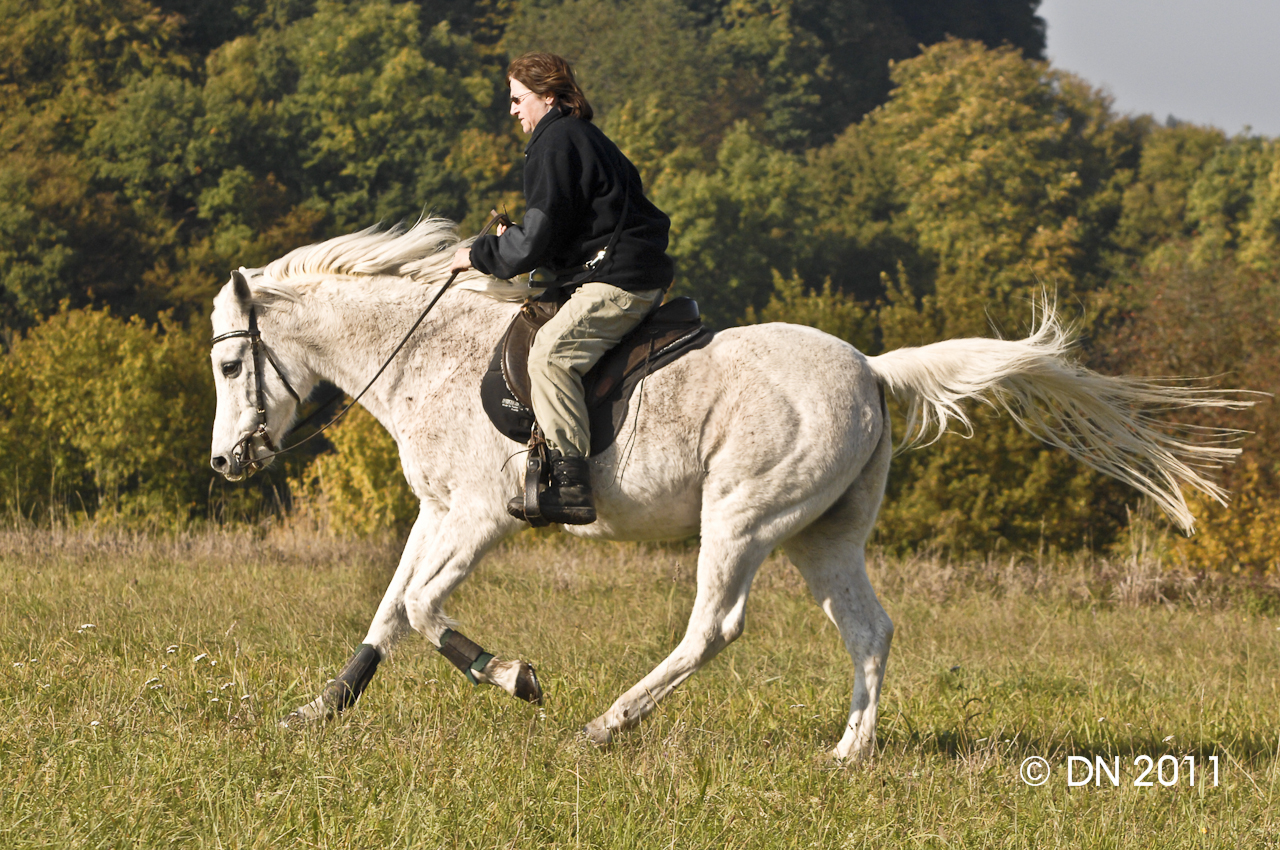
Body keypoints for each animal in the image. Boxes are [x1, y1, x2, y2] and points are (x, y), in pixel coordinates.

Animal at [207, 218, 1239, 762]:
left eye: (227, 364)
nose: (226, 465)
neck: (433, 354)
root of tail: (872, 371)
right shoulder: (439, 513)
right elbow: (389, 610)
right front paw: (320, 710)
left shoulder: (478, 517)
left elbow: (422, 610)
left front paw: (515, 677)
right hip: (824, 535)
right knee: (869, 630)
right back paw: (848, 753)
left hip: (742, 518)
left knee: (713, 628)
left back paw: (602, 725)